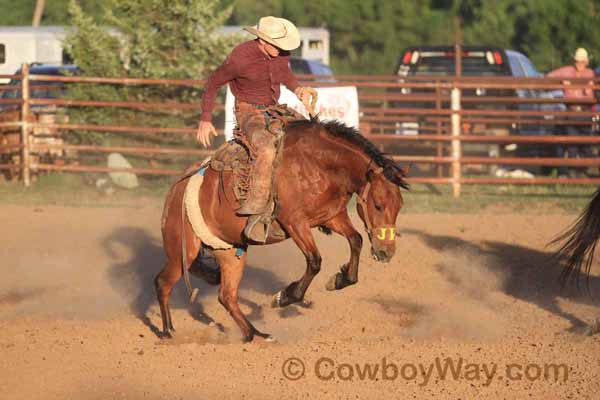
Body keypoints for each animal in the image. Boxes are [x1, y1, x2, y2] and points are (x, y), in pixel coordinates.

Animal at [155, 119, 408, 340]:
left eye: (399, 206)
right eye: (378, 204)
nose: (386, 252)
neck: (318, 164)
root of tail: (175, 189)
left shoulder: (332, 217)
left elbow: (356, 240)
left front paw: (340, 279)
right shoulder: (295, 222)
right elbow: (314, 261)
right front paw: (284, 297)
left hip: (230, 252)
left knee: (226, 296)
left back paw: (255, 334)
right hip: (182, 252)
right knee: (163, 283)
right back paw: (168, 331)